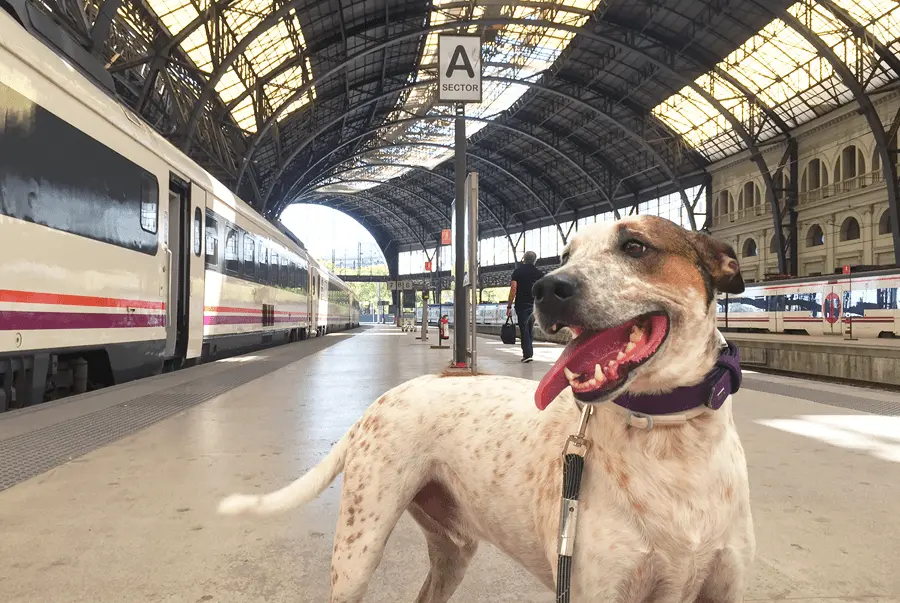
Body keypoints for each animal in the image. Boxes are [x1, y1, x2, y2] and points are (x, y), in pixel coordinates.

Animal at [218, 216, 752, 603]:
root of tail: (387, 396)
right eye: (566, 254)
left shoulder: (723, 589)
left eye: (636, 246)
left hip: (453, 550)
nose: (545, 287)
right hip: (357, 552)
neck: (672, 437)